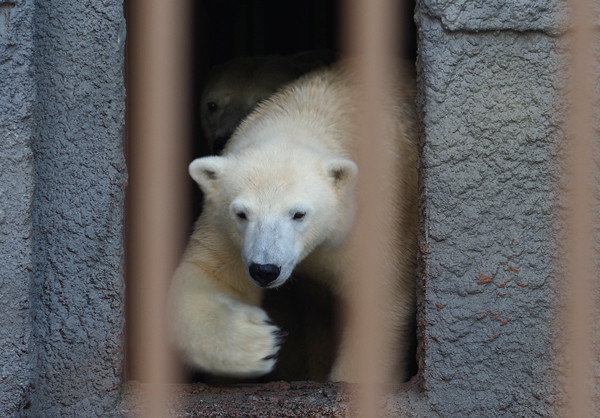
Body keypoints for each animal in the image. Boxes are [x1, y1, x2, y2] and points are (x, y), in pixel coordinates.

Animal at [170, 62, 418, 382]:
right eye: (242, 213)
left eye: (299, 213)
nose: (265, 270)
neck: (309, 116)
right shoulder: (226, 230)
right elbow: (208, 276)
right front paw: (260, 343)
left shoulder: (383, 213)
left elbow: (380, 298)